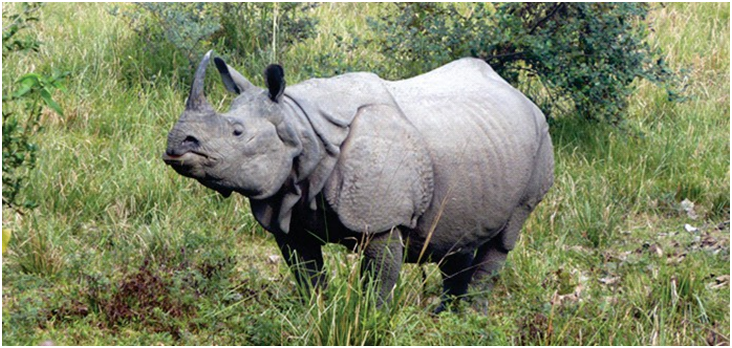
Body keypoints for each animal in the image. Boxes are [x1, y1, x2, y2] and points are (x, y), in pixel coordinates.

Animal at [164, 51, 556, 312]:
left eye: (237, 131)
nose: (176, 145)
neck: (300, 128)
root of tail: (522, 97)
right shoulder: (288, 205)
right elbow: (307, 274)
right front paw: (316, 314)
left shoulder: (381, 221)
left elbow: (378, 281)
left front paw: (369, 320)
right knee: (458, 235)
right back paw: (444, 317)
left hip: (540, 144)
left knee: (504, 237)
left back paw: (470, 319)